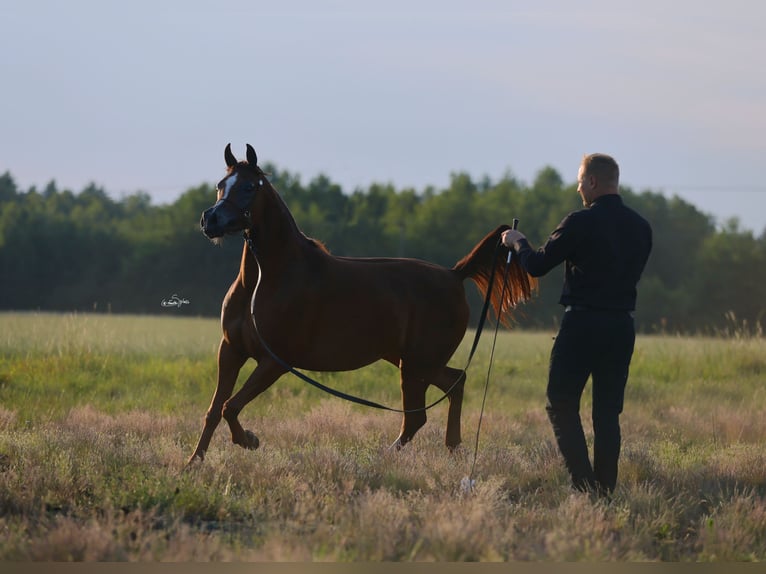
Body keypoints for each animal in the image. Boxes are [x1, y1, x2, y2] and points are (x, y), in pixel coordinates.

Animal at [188, 145, 536, 468]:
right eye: (221, 184)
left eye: (249, 187)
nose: (211, 219)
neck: (266, 281)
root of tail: (454, 275)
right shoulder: (231, 350)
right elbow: (213, 410)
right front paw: (193, 463)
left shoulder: (275, 361)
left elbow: (230, 406)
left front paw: (250, 440)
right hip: (414, 361)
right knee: (454, 384)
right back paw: (453, 448)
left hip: (416, 365)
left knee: (417, 416)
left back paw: (384, 459)